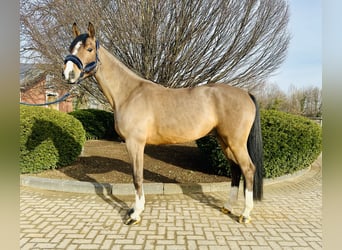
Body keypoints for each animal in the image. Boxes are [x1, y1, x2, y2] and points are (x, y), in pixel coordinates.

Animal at [62, 21, 264, 225]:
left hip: (236, 142)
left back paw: (245, 214)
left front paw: (135, 214)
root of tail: (245, 93)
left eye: (89, 48)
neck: (129, 93)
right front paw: (134, 210)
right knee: (235, 170)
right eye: (71, 47)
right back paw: (228, 207)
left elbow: (137, 177)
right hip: (224, 141)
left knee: (248, 169)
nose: (68, 74)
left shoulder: (135, 143)